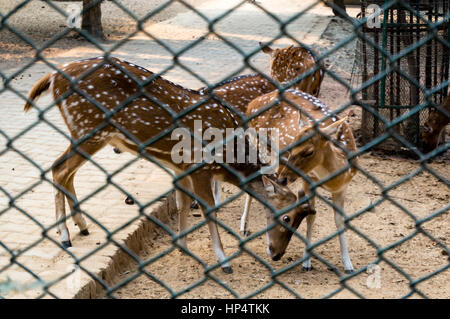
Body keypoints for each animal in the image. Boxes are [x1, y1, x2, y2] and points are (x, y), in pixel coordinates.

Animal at [22, 56, 310, 274]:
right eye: (287, 217)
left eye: (300, 219)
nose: (276, 254)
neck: (230, 157)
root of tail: (53, 77)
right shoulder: (202, 168)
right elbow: (208, 209)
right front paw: (223, 261)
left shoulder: (181, 168)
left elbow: (182, 204)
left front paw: (182, 246)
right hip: (90, 129)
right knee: (59, 168)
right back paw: (65, 236)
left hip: (84, 132)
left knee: (65, 171)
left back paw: (81, 226)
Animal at [244, 90, 356, 276]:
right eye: (291, 147)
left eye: (308, 151)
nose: (282, 179)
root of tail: (252, 103)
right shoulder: (307, 181)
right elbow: (311, 216)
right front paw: (306, 262)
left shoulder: (343, 188)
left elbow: (340, 221)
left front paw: (348, 264)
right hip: (257, 145)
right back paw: (243, 227)